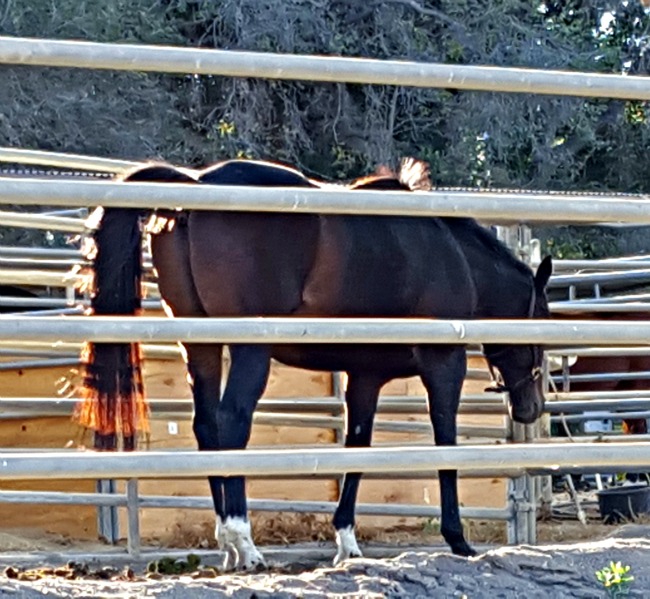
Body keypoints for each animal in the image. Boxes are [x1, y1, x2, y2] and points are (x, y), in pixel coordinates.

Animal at [78, 157, 548, 568]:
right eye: (542, 318)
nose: (531, 408)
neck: (453, 259)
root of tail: (196, 184)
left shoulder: (366, 376)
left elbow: (357, 446)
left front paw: (347, 541)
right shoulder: (443, 365)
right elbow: (445, 443)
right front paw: (457, 539)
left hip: (200, 347)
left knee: (207, 425)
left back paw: (226, 544)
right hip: (251, 348)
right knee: (232, 420)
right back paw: (244, 542)